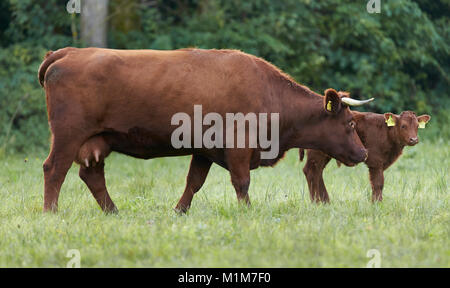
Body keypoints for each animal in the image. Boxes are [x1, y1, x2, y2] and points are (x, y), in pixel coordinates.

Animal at [38, 47, 370, 213]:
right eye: (350, 123)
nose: (364, 153)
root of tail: (69, 52)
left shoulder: (205, 149)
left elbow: (193, 183)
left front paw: (179, 211)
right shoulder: (238, 144)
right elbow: (241, 182)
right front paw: (247, 211)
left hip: (97, 141)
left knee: (92, 175)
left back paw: (113, 211)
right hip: (68, 135)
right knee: (54, 169)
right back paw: (51, 211)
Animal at [300, 105, 430, 202]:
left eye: (417, 126)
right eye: (403, 126)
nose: (414, 139)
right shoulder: (375, 161)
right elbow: (378, 183)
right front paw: (377, 203)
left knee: (318, 172)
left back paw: (325, 201)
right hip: (317, 153)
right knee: (311, 171)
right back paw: (316, 201)